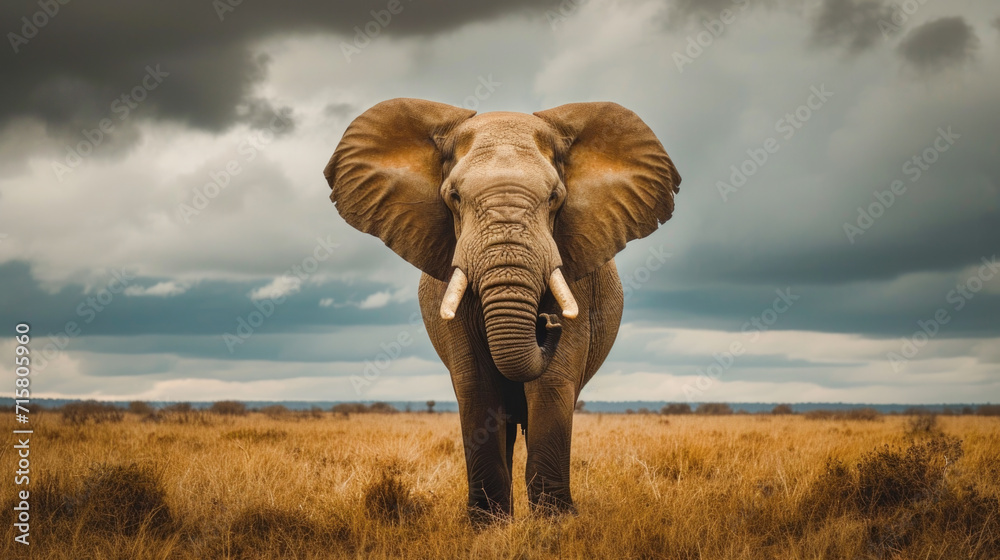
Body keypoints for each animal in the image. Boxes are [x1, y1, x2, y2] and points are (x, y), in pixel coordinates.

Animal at [324, 98, 680, 524]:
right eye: (454, 197)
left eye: (555, 197)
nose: (548, 323)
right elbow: (477, 385)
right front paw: (487, 526)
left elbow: (551, 384)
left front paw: (556, 524)